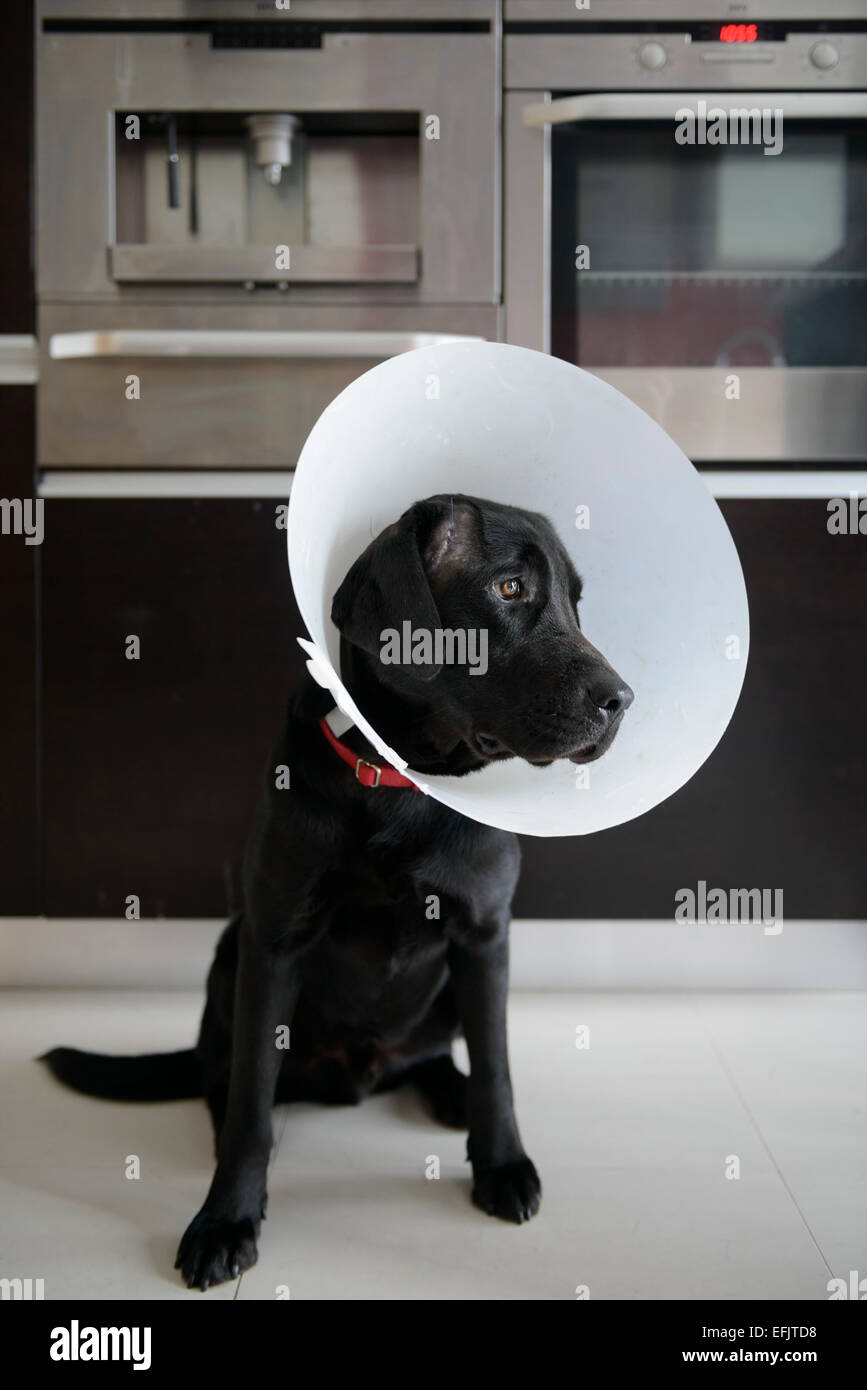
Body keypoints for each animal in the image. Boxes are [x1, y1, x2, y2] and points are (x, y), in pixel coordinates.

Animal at [40, 494, 633, 1284]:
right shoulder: (274, 942)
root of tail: (359, 1073)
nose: (622, 700)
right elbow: (250, 1105)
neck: (398, 784)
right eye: (509, 588)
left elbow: (497, 1069)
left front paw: (501, 1165)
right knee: (221, 1075)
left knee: (442, 1056)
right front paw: (225, 1218)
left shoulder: (485, 935)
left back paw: (449, 1092)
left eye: (575, 600)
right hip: (230, 953)